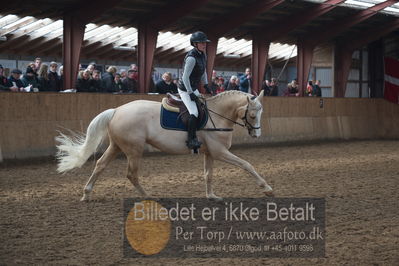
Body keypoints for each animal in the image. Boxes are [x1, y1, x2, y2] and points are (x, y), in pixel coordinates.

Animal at [56, 89, 274, 200]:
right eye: (252, 114)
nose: (256, 134)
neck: (217, 115)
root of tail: (116, 110)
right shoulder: (220, 152)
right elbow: (247, 165)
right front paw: (266, 188)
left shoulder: (210, 153)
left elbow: (208, 175)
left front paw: (211, 196)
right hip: (134, 150)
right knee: (131, 174)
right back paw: (149, 196)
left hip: (116, 146)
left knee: (100, 165)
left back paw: (86, 194)